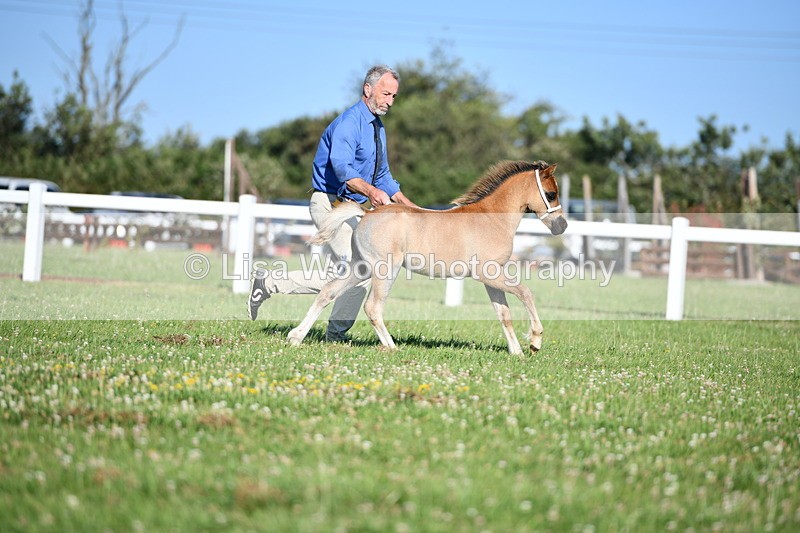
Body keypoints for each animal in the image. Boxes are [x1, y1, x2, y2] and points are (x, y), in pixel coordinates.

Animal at [287, 160, 568, 354]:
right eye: (551, 194)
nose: (562, 226)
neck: (490, 218)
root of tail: (365, 214)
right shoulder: (489, 274)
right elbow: (525, 292)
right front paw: (535, 341)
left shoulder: (491, 279)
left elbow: (504, 314)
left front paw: (516, 351)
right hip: (384, 271)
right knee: (373, 307)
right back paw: (391, 346)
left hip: (360, 268)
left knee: (328, 292)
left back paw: (296, 336)